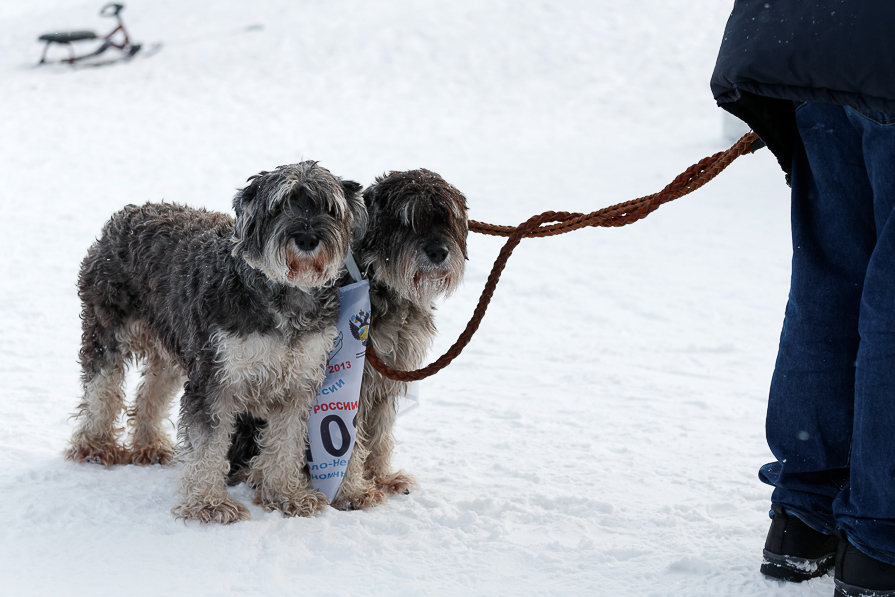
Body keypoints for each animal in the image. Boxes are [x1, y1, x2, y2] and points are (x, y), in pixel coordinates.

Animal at [65, 159, 368, 520]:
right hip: (108, 333)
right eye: (279, 206)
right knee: (102, 390)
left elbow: (287, 441)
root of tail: (125, 215)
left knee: (151, 393)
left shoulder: (298, 383)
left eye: (328, 208)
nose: (307, 238)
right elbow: (207, 444)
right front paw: (208, 503)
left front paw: (287, 495)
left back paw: (149, 444)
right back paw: (95, 446)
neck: (284, 294)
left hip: (173, 352)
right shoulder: (216, 380)